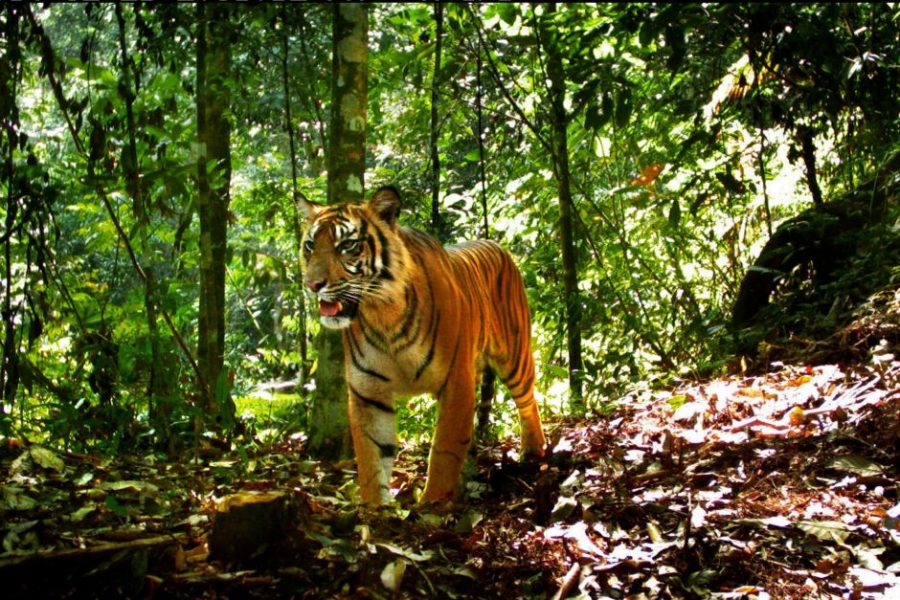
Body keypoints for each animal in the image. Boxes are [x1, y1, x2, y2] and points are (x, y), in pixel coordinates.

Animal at [299, 186, 546, 506]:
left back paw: (534, 450)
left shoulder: (456, 381)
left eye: (348, 245)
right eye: (309, 245)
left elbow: (444, 450)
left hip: (514, 356)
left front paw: (432, 505)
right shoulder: (368, 393)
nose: (312, 284)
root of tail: (495, 243)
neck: (383, 314)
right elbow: (371, 457)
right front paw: (375, 508)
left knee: (527, 399)